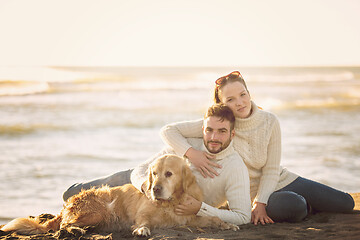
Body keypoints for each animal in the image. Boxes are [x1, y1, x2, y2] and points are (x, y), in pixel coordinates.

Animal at [2, 155, 240, 237]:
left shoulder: (188, 218)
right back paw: (75, 230)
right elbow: (143, 221)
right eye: (154, 173)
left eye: (169, 174)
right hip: (98, 211)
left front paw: (227, 224)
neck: (169, 203)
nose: (155, 189)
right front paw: (142, 230)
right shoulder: (143, 213)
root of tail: (67, 204)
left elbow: (212, 218)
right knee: (63, 225)